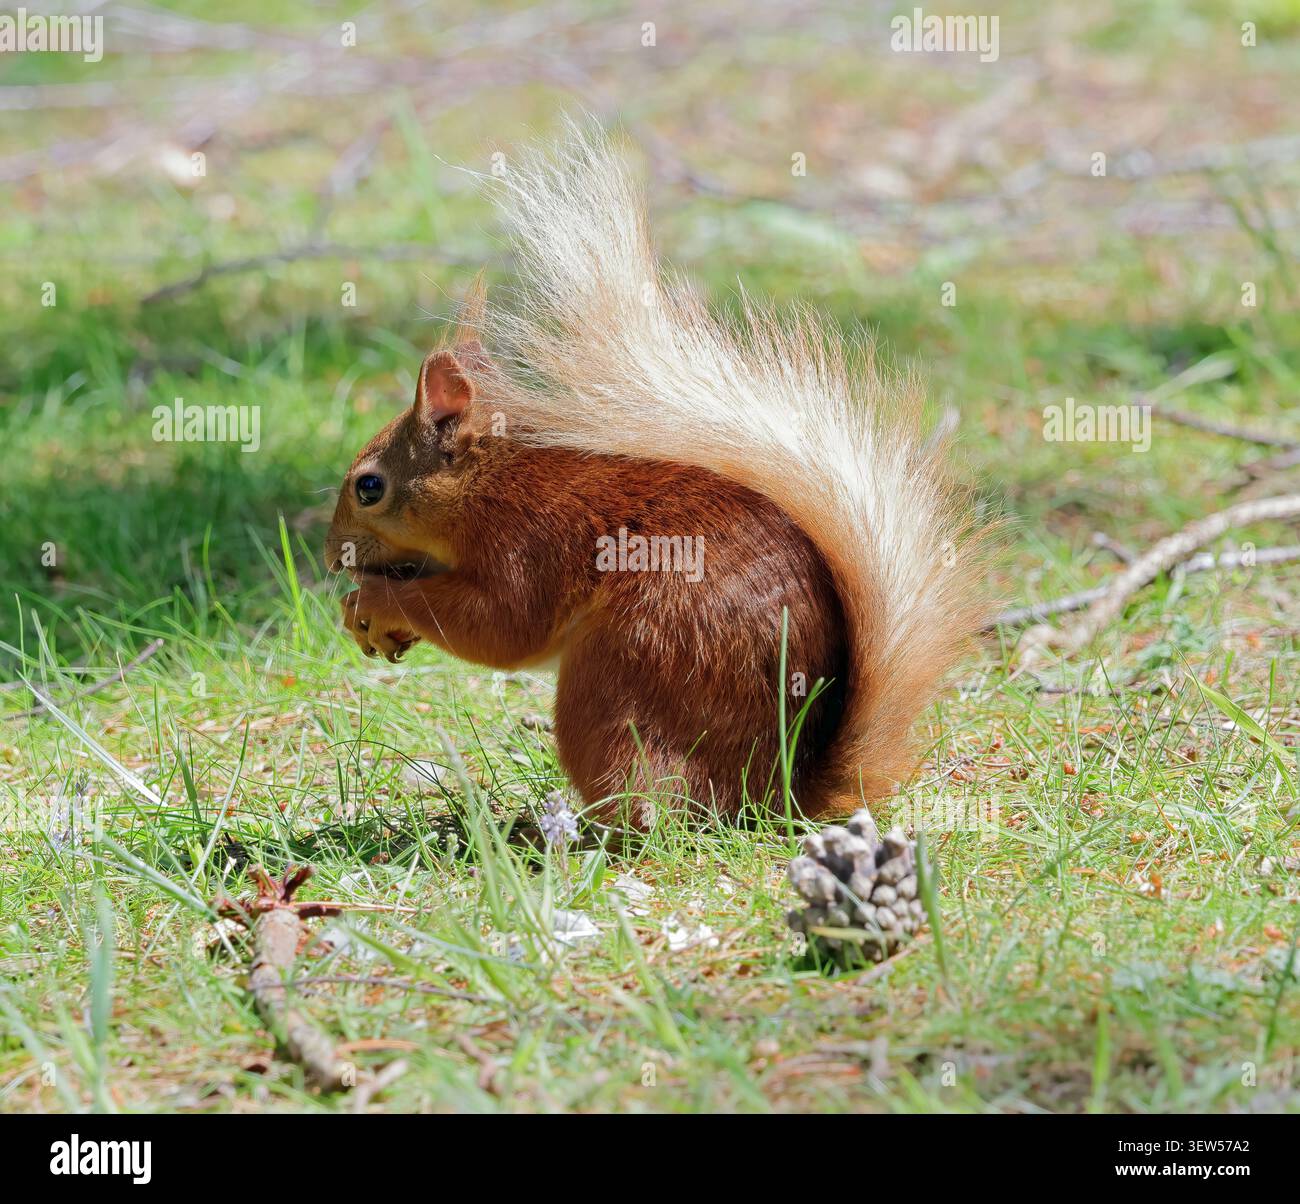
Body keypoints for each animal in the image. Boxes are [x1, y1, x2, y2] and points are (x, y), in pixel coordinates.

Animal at [325, 124, 985, 829]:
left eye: (370, 487)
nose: (332, 556)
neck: (486, 487)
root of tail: (770, 799)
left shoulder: (525, 544)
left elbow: (500, 626)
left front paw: (374, 601)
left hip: (626, 673)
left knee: (651, 816)